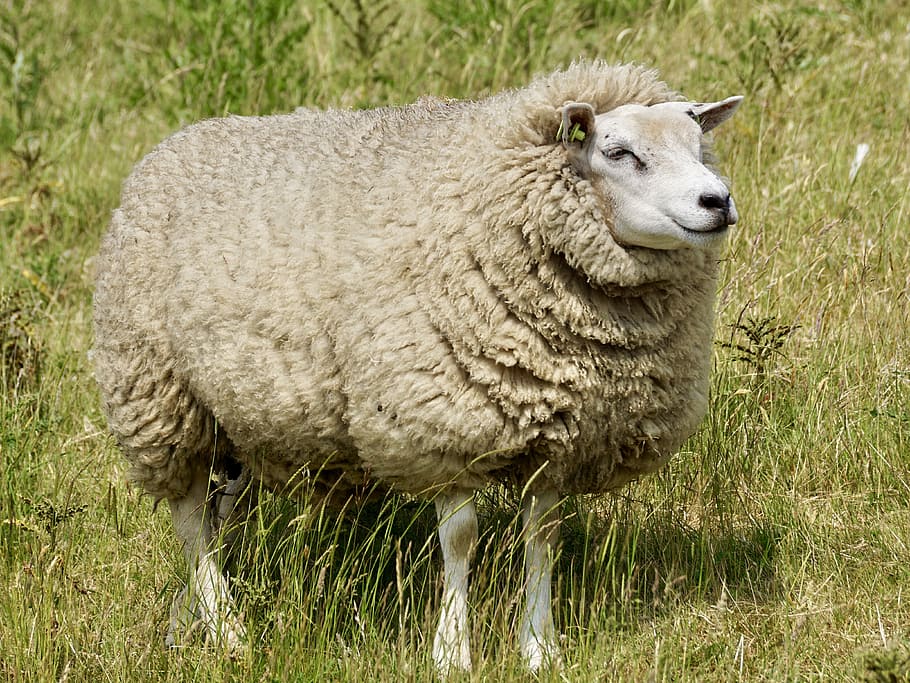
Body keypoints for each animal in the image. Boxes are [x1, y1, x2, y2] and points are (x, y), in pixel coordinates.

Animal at [92, 60, 742, 673]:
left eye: (697, 145)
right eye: (619, 152)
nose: (718, 202)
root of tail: (171, 146)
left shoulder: (560, 437)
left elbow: (543, 537)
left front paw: (540, 649)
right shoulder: (442, 422)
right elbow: (460, 539)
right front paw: (452, 653)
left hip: (244, 419)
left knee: (216, 518)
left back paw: (186, 625)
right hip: (161, 397)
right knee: (190, 522)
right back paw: (229, 632)